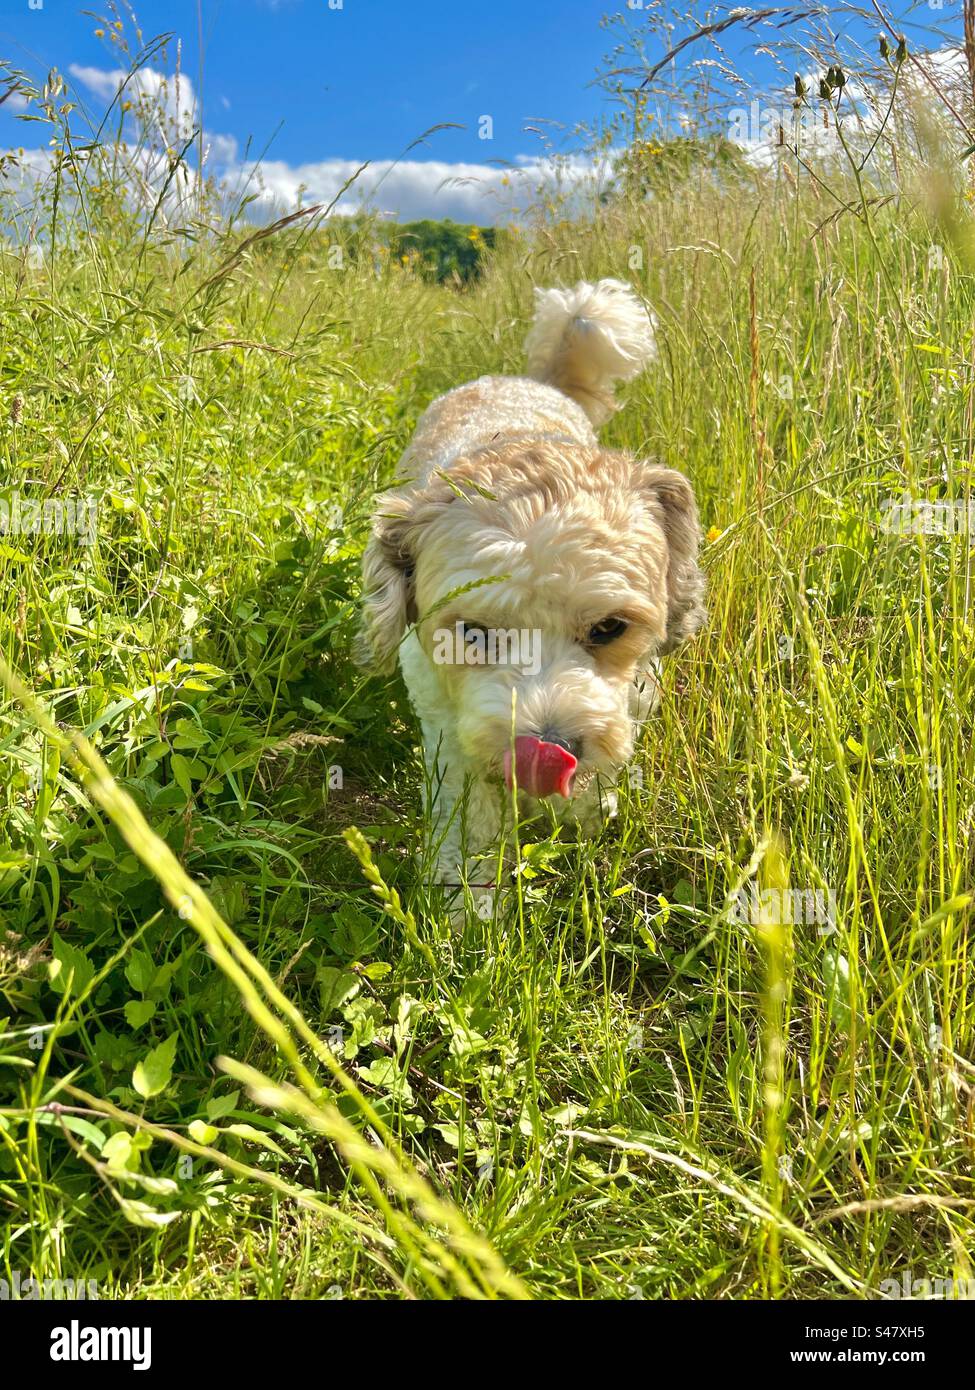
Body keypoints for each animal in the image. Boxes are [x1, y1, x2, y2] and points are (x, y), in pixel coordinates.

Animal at [353, 278, 703, 884]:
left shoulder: (631, 699)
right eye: (473, 633)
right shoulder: (446, 727)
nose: (551, 745)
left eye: (610, 627)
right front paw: (464, 896)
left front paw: (584, 817)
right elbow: (467, 817)